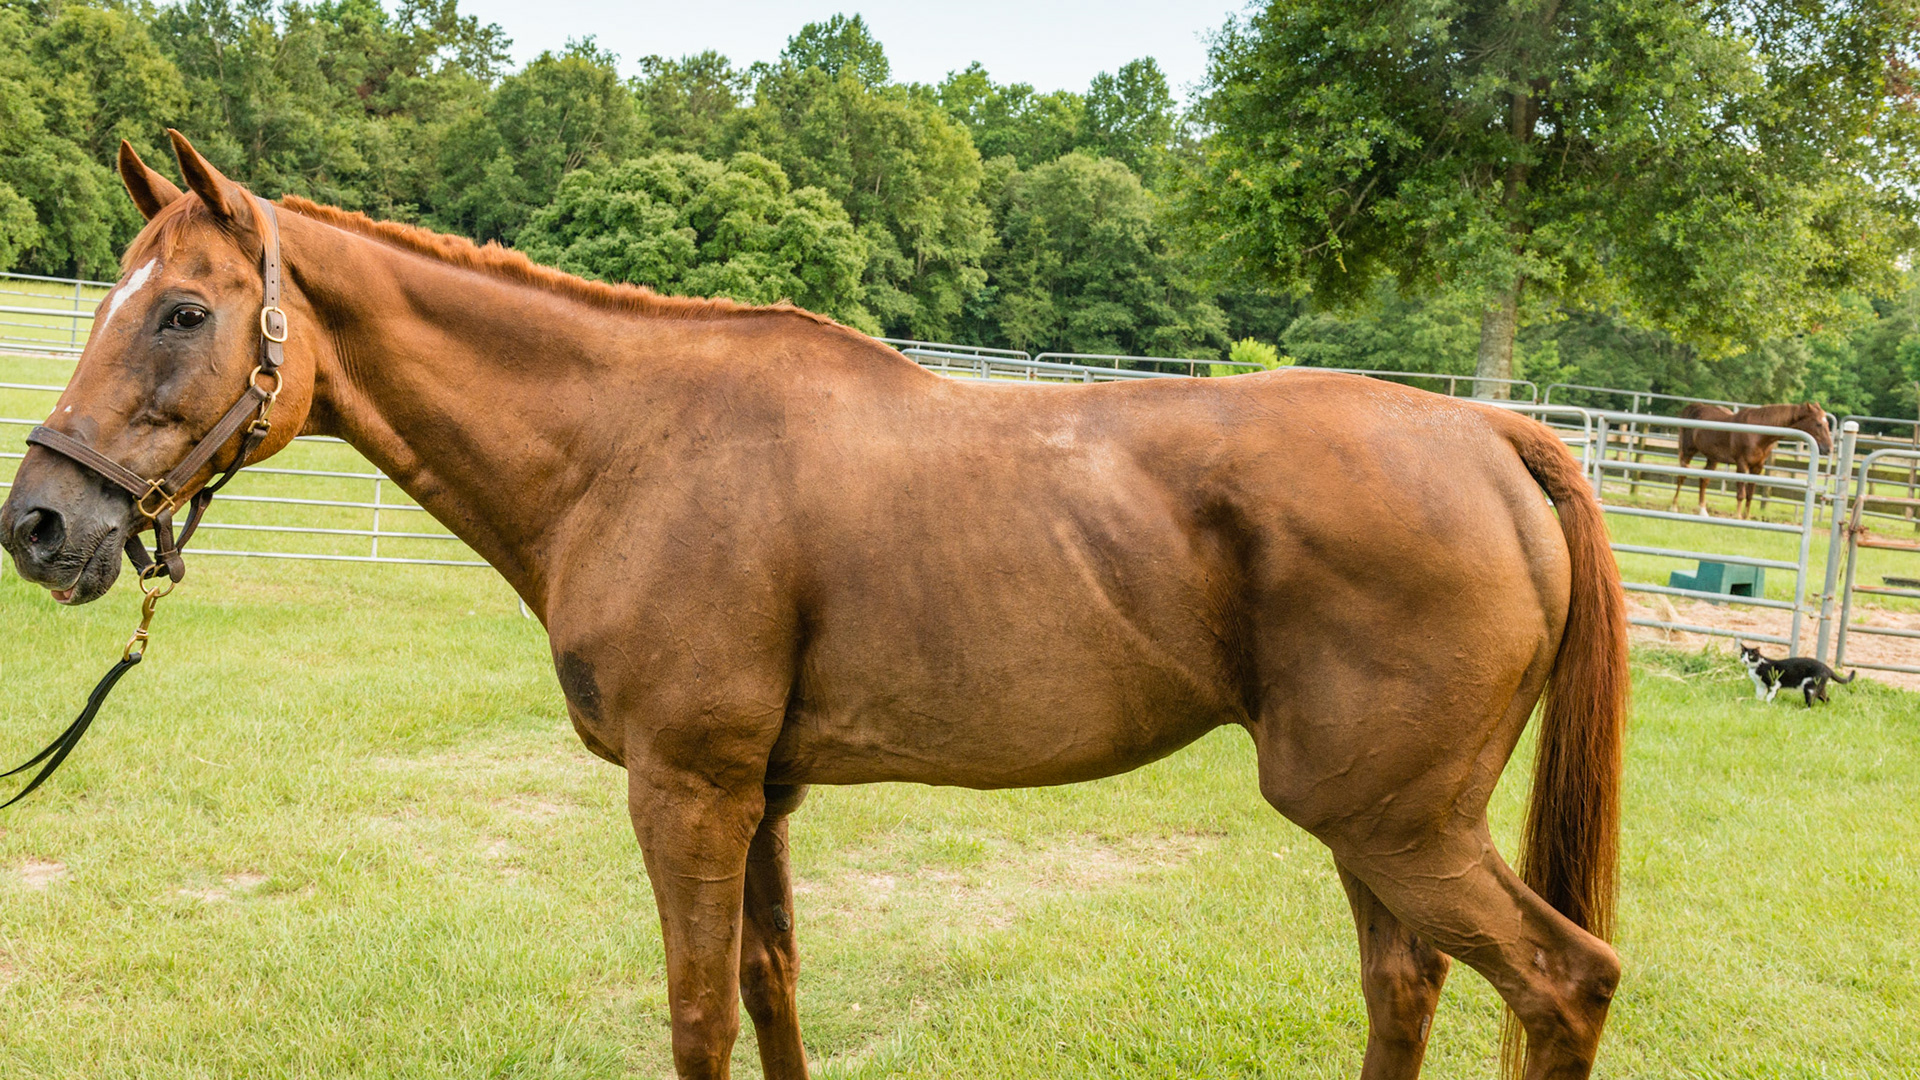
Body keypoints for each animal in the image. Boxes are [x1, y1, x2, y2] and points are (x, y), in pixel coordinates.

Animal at [1, 132, 1630, 1080]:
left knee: (1563, 984)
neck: (633, 445)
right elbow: (774, 988)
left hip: (1398, 825)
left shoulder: (688, 789)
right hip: (1380, 829)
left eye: (184, 311)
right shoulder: (762, 796)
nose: (41, 521)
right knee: (1406, 988)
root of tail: (1495, 437)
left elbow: (700, 1010)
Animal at [1668, 402, 1832, 519]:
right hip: (1688, 452)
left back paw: (1703, 511)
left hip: (1712, 458)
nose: (1829, 448)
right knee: (1681, 476)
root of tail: (1696, 407)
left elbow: (1750, 494)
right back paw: (1674, 506)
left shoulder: (1757, 467)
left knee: (1704, 479)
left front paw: (1747, 517)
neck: (1759, 433)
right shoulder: (1742, 464)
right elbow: (1741, 493)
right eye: (1818, 423)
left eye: (1827, 423)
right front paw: (1738, 516)